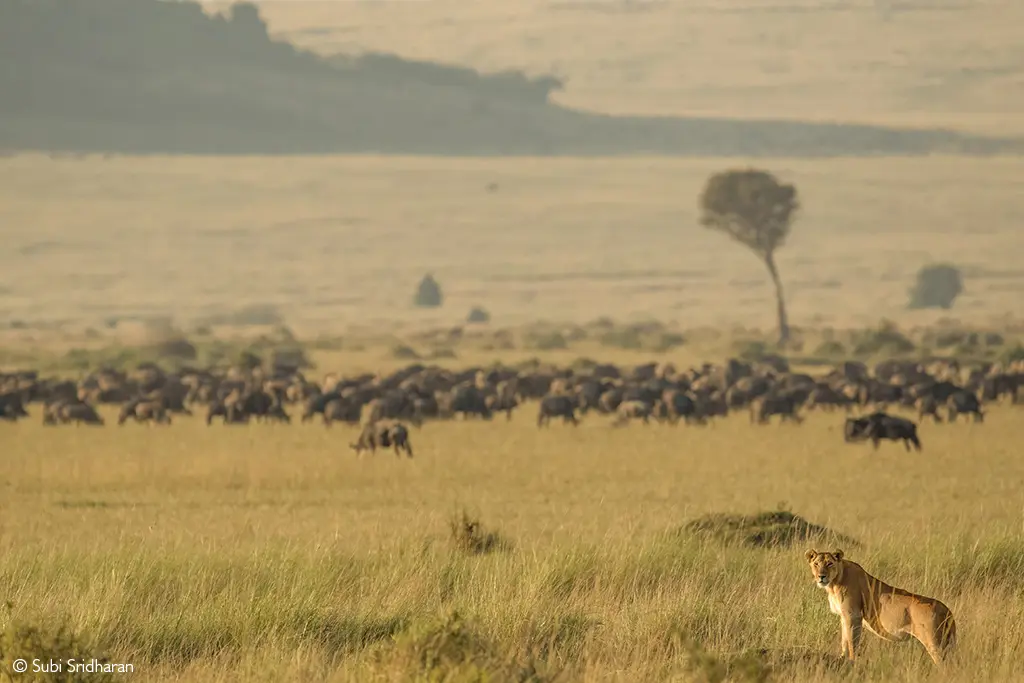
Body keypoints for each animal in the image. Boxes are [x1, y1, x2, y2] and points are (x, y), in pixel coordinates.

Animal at [804, 549, 956, 664]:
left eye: (829, 563)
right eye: (816, 564)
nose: (821, 576)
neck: (834, 583)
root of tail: (947, 610)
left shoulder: (853, 615)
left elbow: (852, 642)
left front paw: (851, 662)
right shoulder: (843, 616)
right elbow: (844, 640)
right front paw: (842, 658)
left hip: (934, 642)